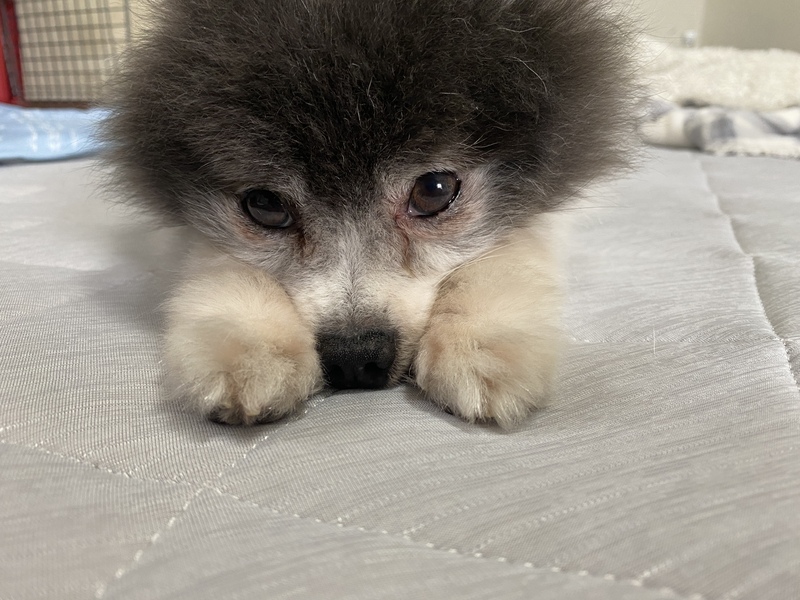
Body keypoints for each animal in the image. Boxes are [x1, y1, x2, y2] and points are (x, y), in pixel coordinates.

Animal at [105, 0, 634, 427]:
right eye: (265, 205)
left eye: (434, 191)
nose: (355, 357)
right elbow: (216, 259)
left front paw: (483, 342)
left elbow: (511, 246)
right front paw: (252, 348)